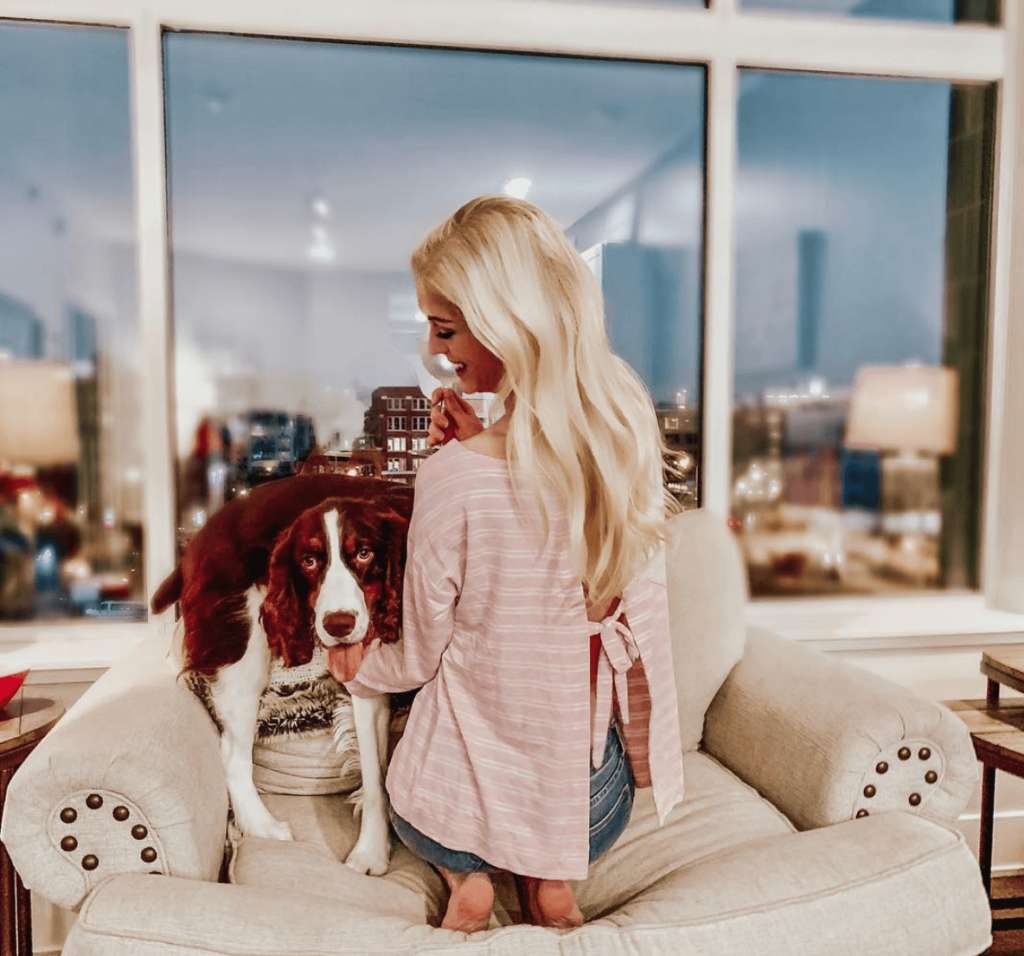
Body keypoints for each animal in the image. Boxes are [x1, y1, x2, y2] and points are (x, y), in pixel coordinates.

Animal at [150, 474, 411, 880]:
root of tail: (198, 540)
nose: (337, 624)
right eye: (309, 561)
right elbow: (373, 777)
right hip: (242, 650)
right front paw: (371, 853)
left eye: (365, 554)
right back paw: (263, 826)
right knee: (232, 752)